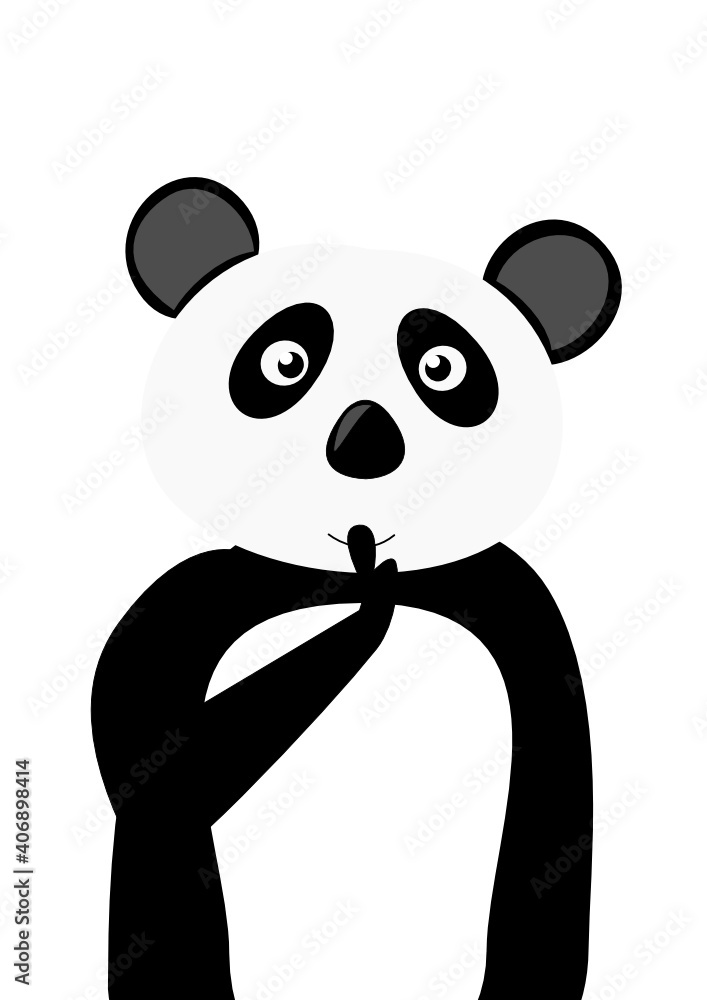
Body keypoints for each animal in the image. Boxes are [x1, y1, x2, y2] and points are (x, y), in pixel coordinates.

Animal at [91, 178, 621, 1000]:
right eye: (285, 361)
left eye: (443, 367)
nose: (365, 437)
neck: (339, 573)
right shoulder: (187, 606)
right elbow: (156, 767)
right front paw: (370, 614)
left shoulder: (525, 617)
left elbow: (556, 822)